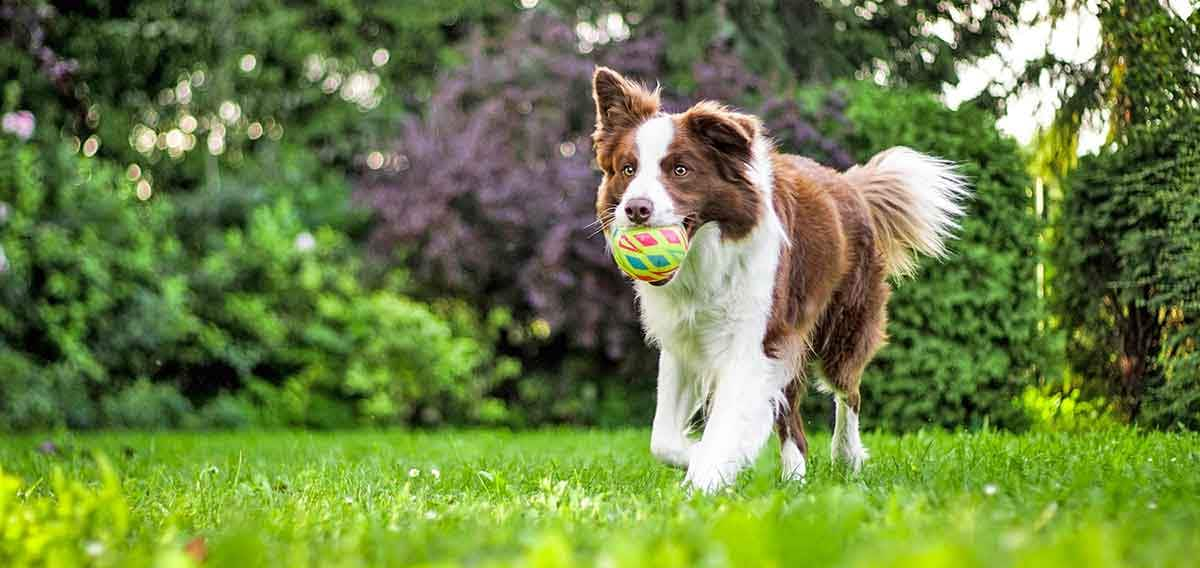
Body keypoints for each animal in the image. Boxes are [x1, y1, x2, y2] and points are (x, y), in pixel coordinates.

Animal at [592, 66, 974, 492]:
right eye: (628, 169)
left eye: (680, 170)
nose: (635, 209)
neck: (706, 260)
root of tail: (851, 185)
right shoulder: (684, 341)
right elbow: (663, 439)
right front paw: (708, 459)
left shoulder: (752, 340)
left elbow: (726, 422)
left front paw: (706, 477)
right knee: (792, 417)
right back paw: (794, 478)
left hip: (841, 328)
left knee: (849, 392)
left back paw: (847, 456)